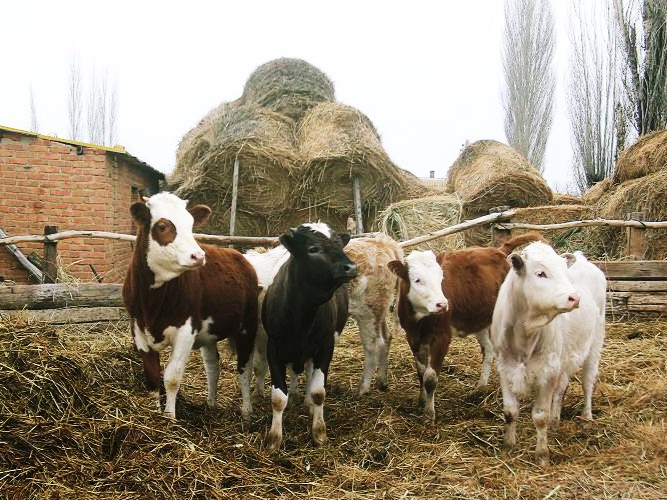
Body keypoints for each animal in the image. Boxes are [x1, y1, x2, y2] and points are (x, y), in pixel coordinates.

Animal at [124, 193, 260, 420]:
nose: (198, 256)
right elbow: (152, 376)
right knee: (213, 365)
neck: (152, 303)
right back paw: (211, 403)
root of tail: (240, 256)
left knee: (245, 367)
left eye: (191, 225)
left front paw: (170, 417)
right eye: (162, 226)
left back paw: (247, 411)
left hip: (247, 326)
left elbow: (172, 377)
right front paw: (154, 412)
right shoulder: (138, 328)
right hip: (210, 333)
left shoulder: (186, 329)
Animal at [264, 224, 360, 454]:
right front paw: (274, 439)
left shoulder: (325, 347)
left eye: (339, 244)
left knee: (308, 374)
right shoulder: (274, 348)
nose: (351, 267)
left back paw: (307, 402)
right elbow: (278, 398)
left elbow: (318, 392)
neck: (301, 315)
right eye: (313, 249)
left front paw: (319, 432)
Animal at [490, 242, 604, 464]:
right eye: (540, 273)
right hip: (564, 358)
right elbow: (510, 411)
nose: (574, 298)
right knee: (561, 389)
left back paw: (587, 418)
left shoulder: (547, 371)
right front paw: (508, 446)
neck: (524, 333)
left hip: (594, 345)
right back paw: (555, 421)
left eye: (564, 271)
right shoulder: (505, 369)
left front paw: (542, 454)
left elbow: (540, 416)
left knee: (588, 383)